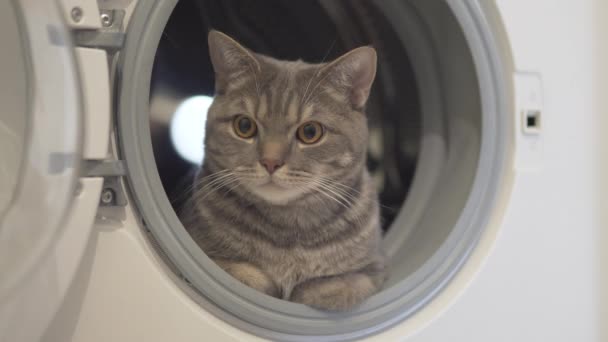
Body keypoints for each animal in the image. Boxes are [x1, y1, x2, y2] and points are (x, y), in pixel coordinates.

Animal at [180, 30, 390, 312]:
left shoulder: (375, 268)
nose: (270, 161)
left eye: (310, 132)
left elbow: (335, 286)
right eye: (244, 126)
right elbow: (247, 273)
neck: (288, 232)